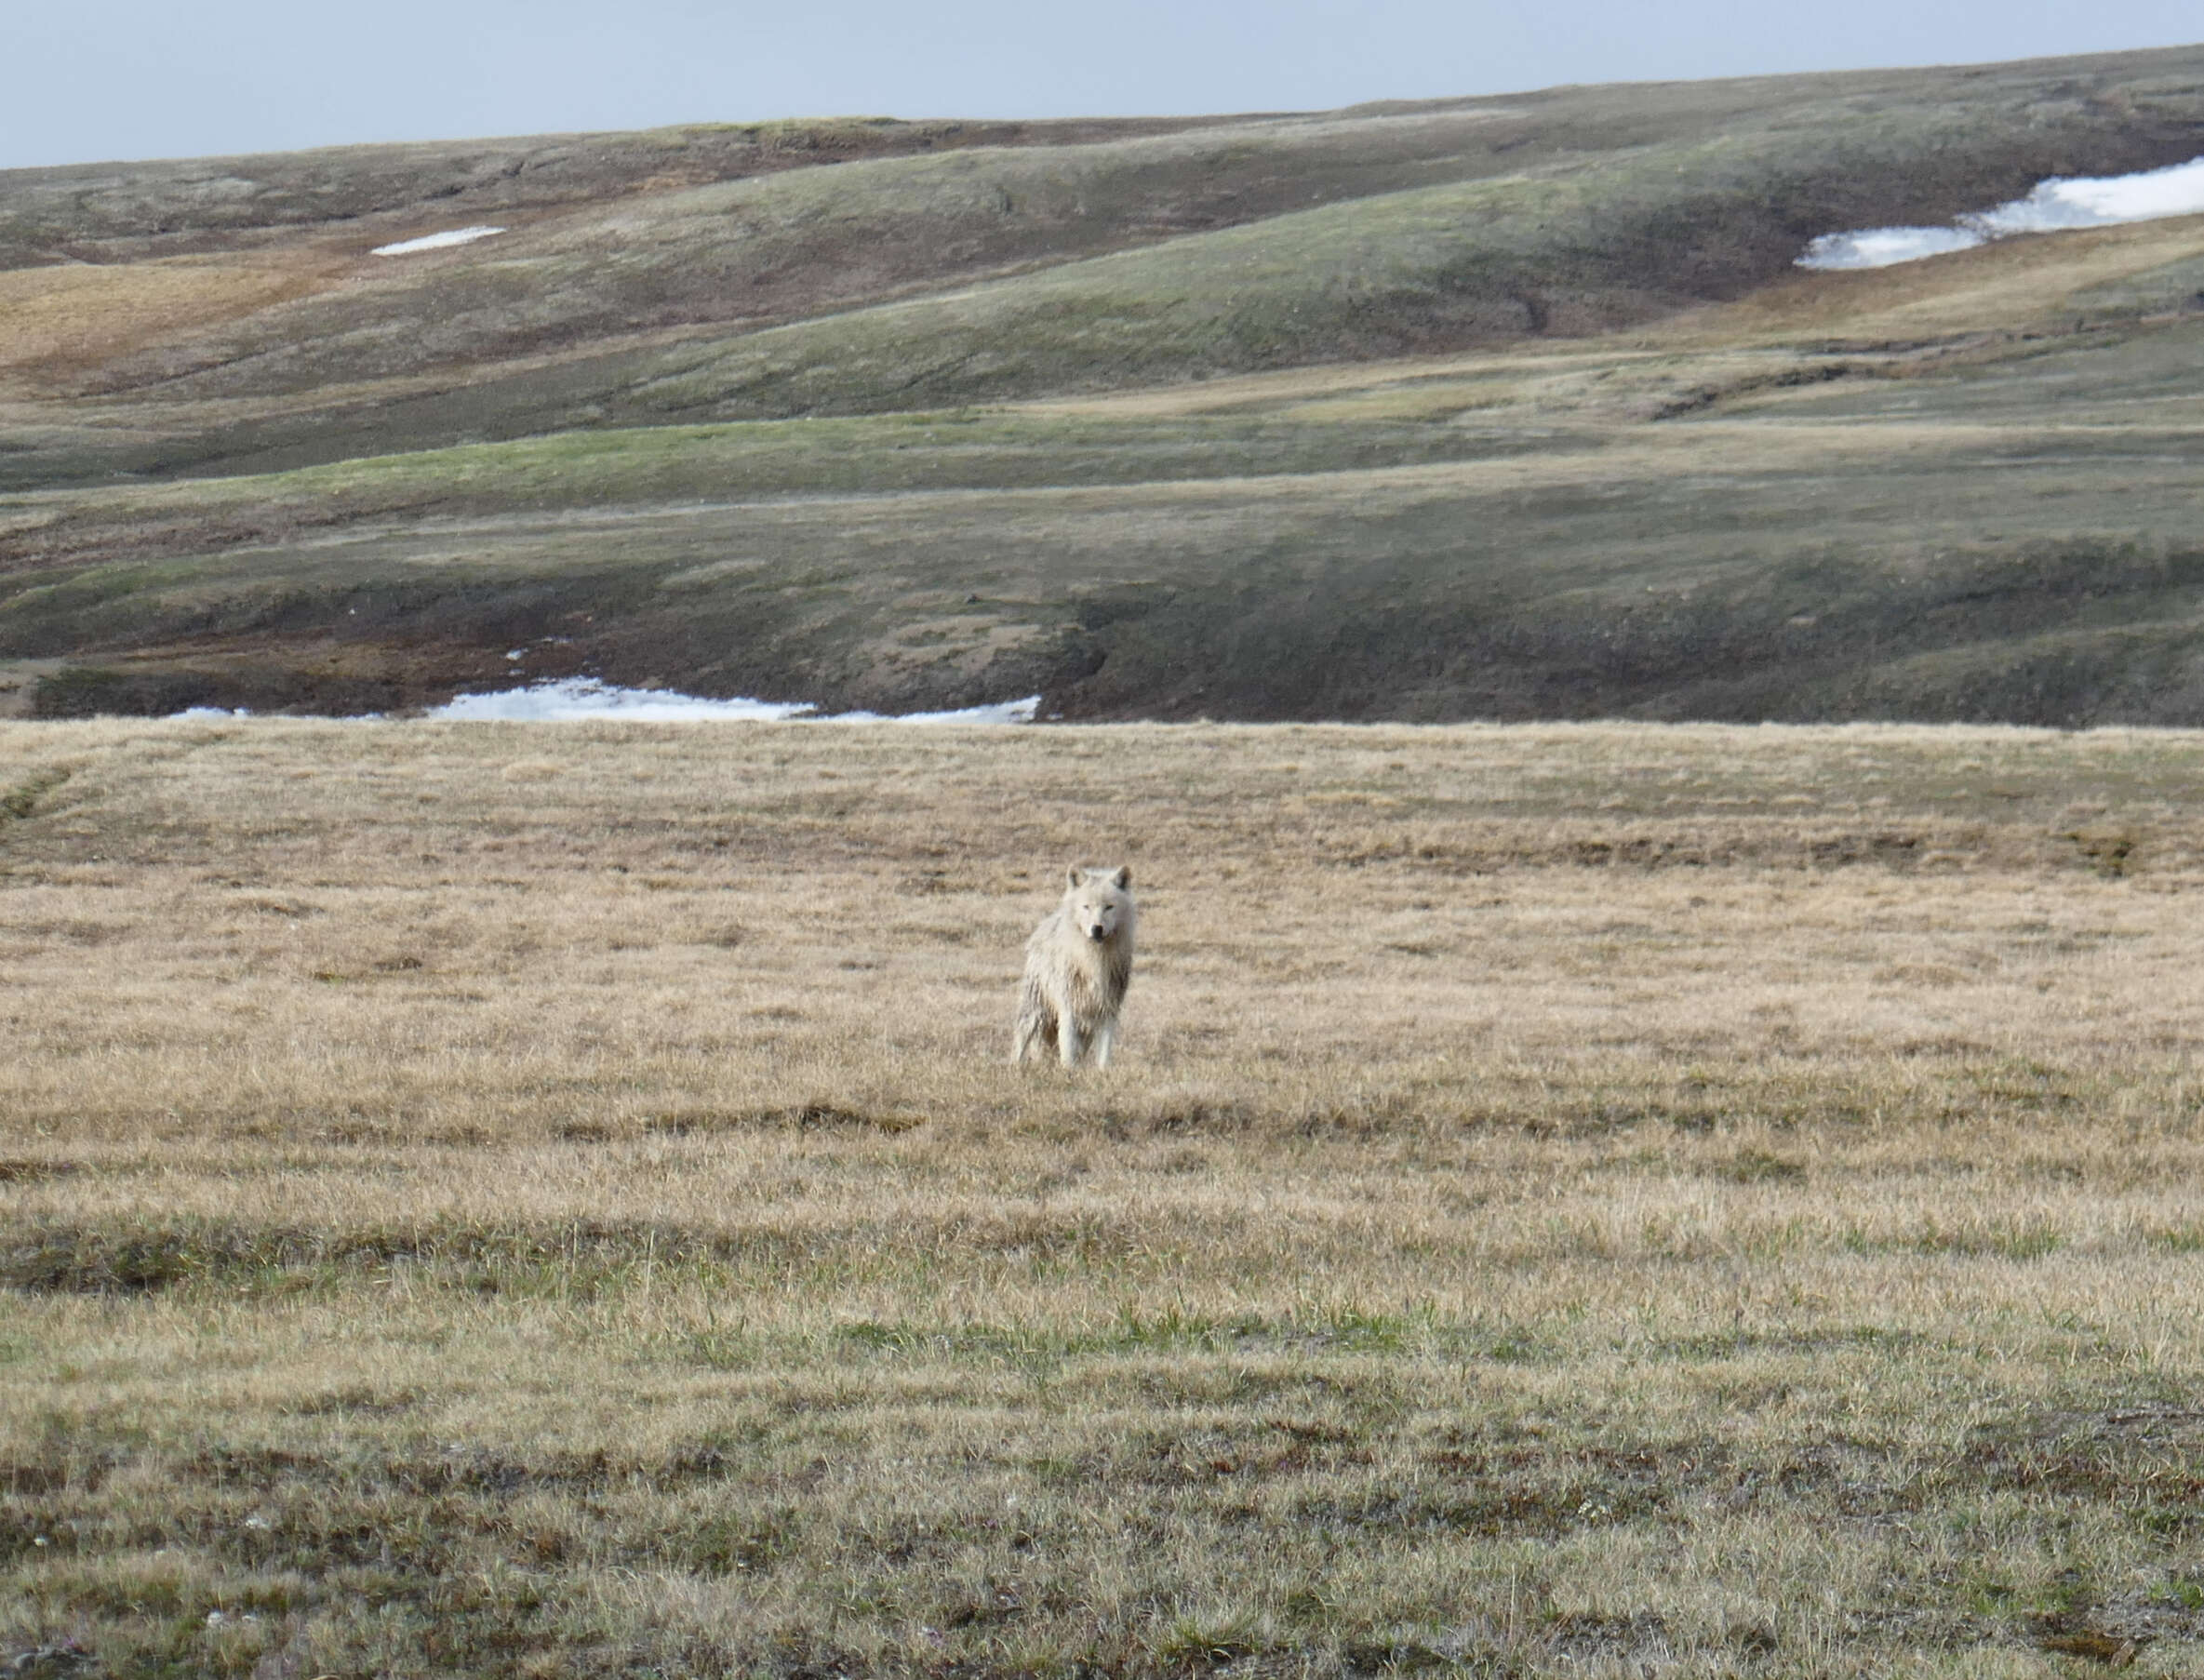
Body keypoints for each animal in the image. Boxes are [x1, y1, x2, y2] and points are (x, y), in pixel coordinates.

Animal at [1009, 868, 1137, 1067]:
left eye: (1109, 907)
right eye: (1086, 907)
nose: (1097, 928)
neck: (1094, 960)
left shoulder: (1108, 1011)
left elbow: (1103, 1058)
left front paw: (1101, 1072)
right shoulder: (1068, 1010)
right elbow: (1068, 1055)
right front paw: (1069, 1072)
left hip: (1085, 1029)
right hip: (1035, 1009)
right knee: (1020, 1040)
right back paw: (1014, 1066)